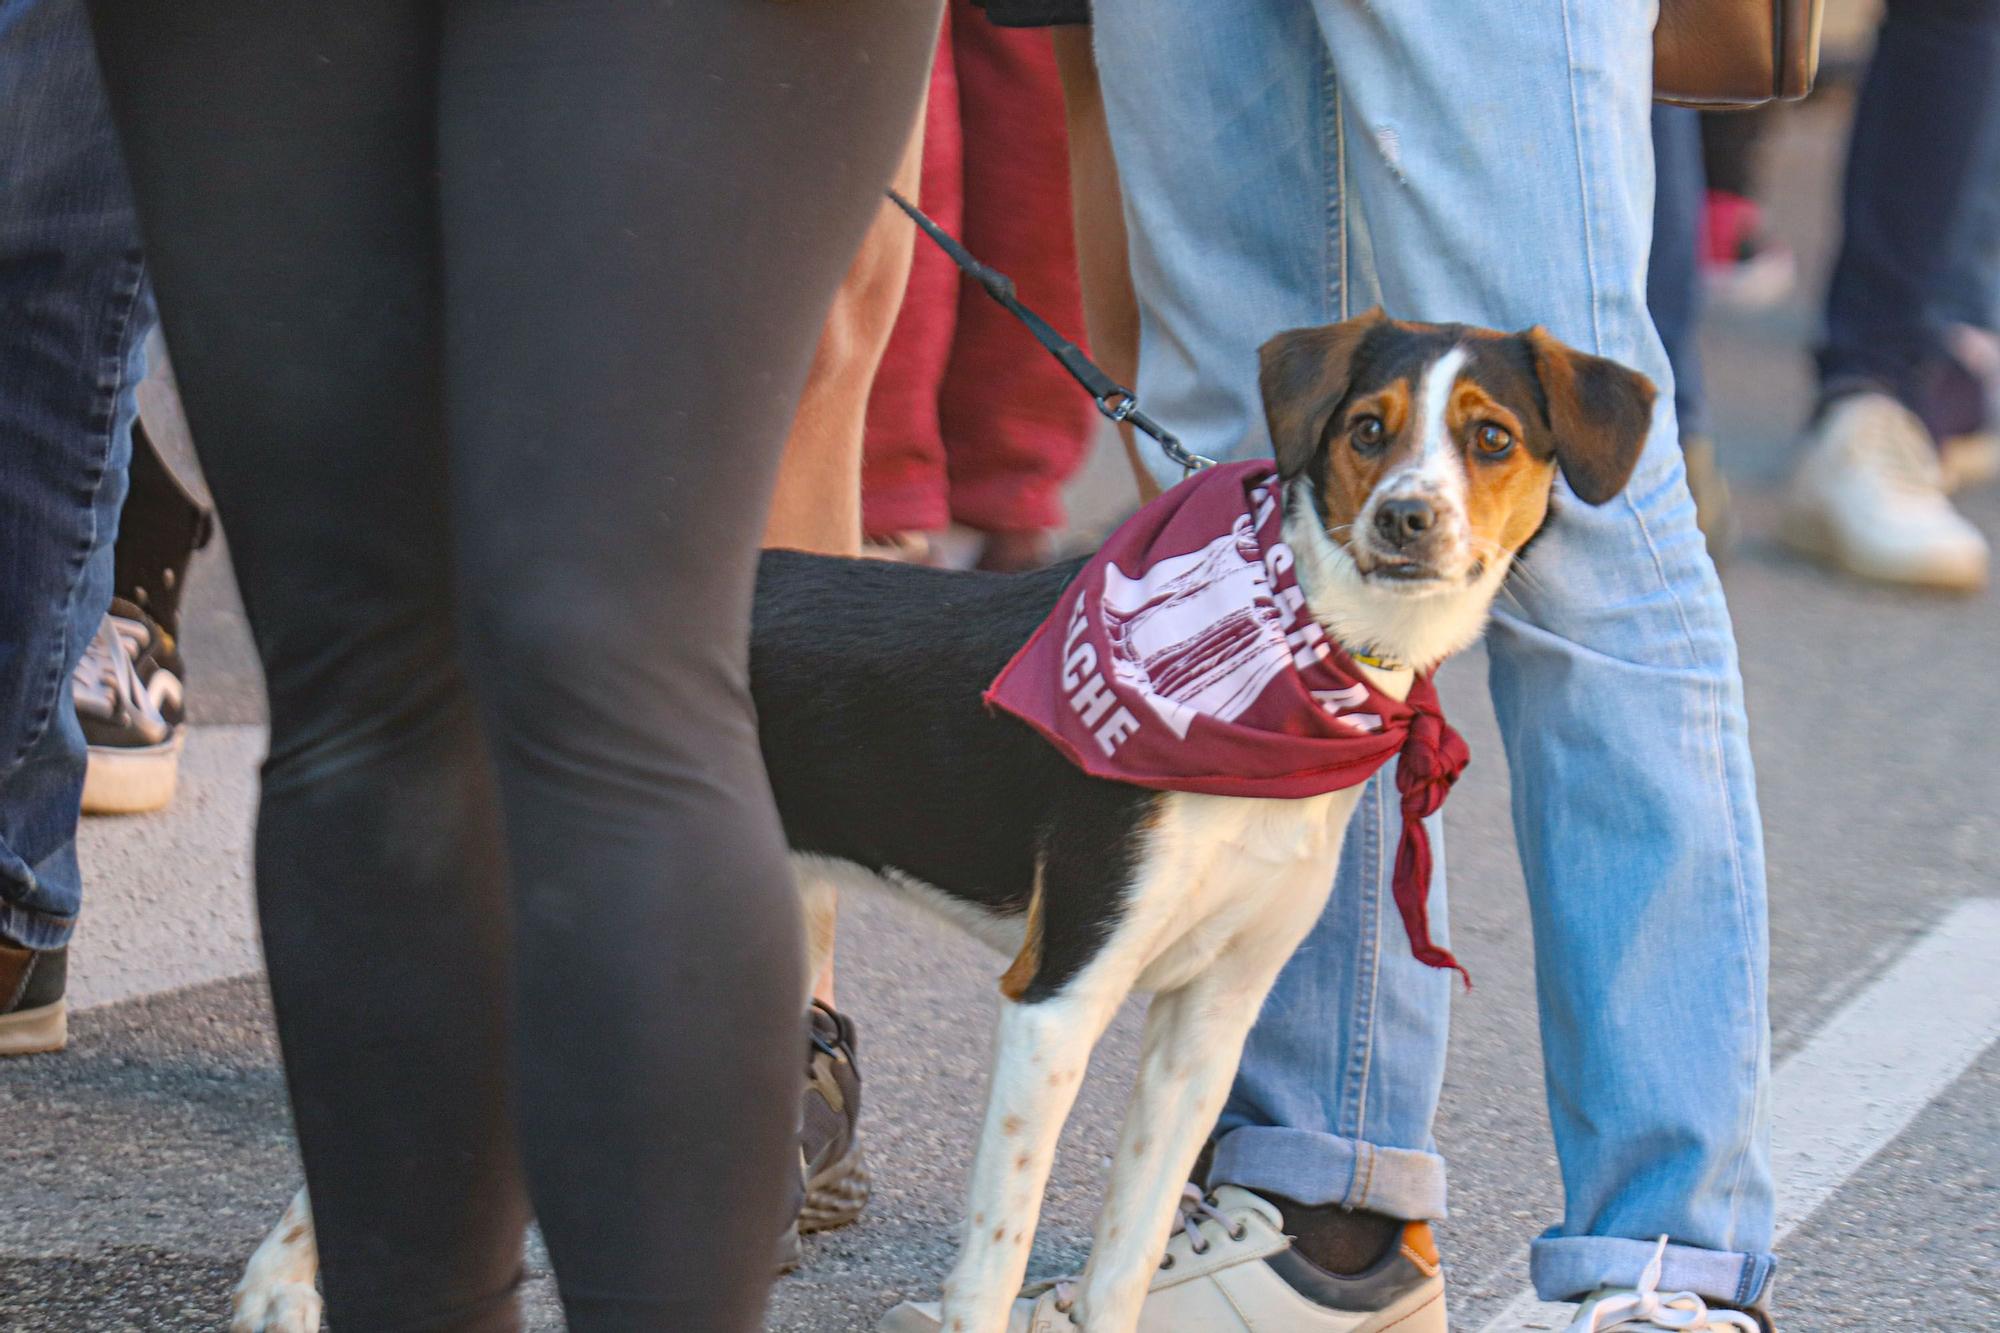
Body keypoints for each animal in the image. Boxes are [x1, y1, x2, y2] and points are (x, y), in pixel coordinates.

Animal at [230, 312, 1656, 1328]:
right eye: (1367, 427)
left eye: (1489, 440)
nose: (1406, 519)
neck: (1290, 654)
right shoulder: (1059, 989)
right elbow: (998, 1249)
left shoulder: (1209, 1017)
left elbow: (1125, 1252)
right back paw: (283, 1286)